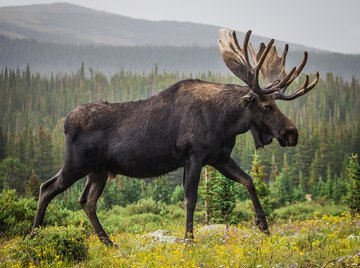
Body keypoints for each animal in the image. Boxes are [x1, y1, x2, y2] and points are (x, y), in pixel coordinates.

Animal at [29, 28, 320, 245]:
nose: (292, 133)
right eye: (266, 106)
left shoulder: (219, 158)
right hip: (77, 163)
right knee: (47, 187)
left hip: (98, 170)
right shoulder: (194, 156)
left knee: (86, 201)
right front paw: (189, 240)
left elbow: (248, 180)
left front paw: (263, 224)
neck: (225, 122)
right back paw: (33, 235)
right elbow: (191, 198)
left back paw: (108, 242)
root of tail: (66, 122)